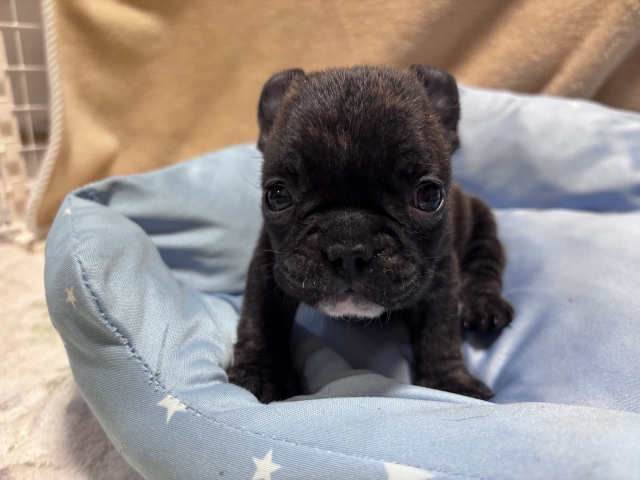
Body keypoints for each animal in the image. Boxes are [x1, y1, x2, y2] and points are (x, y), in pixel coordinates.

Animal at [227, 65, 514, 403]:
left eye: (429, 196)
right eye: (278, 196)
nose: (348, 250)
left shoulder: (441, 274)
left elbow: (439, 331)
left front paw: (449, 383)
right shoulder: (268, 264)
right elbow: (261, 317)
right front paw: (262, 373)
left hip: (482, 224)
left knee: (485, 263)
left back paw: (484, 305)